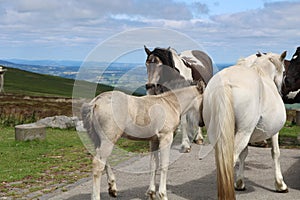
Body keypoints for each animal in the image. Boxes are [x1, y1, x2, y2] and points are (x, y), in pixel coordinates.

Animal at [203, 50, 288, 199]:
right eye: (283, 71)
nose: (281, 91)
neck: (263, 72)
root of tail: (225, 82)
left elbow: (244, 154)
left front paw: (240, 182)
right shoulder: (273, 132)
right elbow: (275, 153)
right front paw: (280, 184)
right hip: (244, 132)